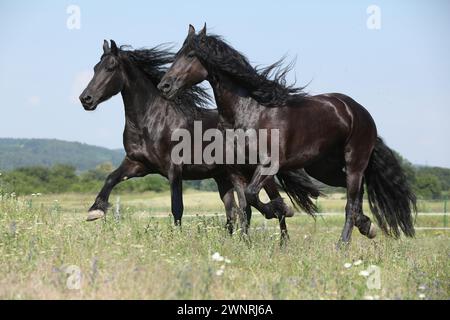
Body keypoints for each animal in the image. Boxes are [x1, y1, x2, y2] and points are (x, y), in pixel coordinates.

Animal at [79, 39, 318, 232]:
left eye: (110, 67)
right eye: (95, 67)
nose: (85, 99)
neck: (151, 122)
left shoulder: (174, 170)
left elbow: (177, 207)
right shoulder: (138, 164)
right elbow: (111, 178)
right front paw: (95, 211)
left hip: (256, 173)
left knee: (273, 206)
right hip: (224, 177)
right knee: (239, 211)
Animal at [159, 25, 418, 245]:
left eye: (191, 55)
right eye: (178, 54)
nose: (164, 86)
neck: (250, 113)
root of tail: (358, 111)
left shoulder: (268, 166)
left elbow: (252, 197)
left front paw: (282, 209)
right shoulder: (237, 171)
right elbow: (245, 204)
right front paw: (276, 215)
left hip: (354, 162)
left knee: (350, 201)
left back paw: (343, 244)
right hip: (323, 168)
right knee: (355, 194)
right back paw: (366, 226)